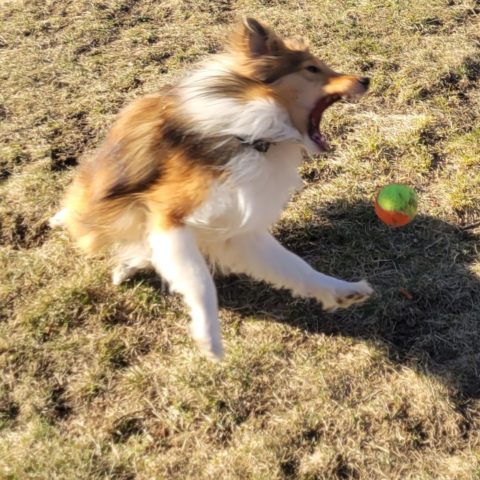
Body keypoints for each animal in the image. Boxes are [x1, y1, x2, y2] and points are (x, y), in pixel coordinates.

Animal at [51, 16, 376, 360]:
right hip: (98, 209)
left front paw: (342, 291)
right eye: (312, 69)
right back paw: (64, 221)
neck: (255, 137)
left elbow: (294, 266)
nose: (366, 79)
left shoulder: (238, 229)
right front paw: (209, 339)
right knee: (84, 216)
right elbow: (199, 279)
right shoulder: (169, 214)